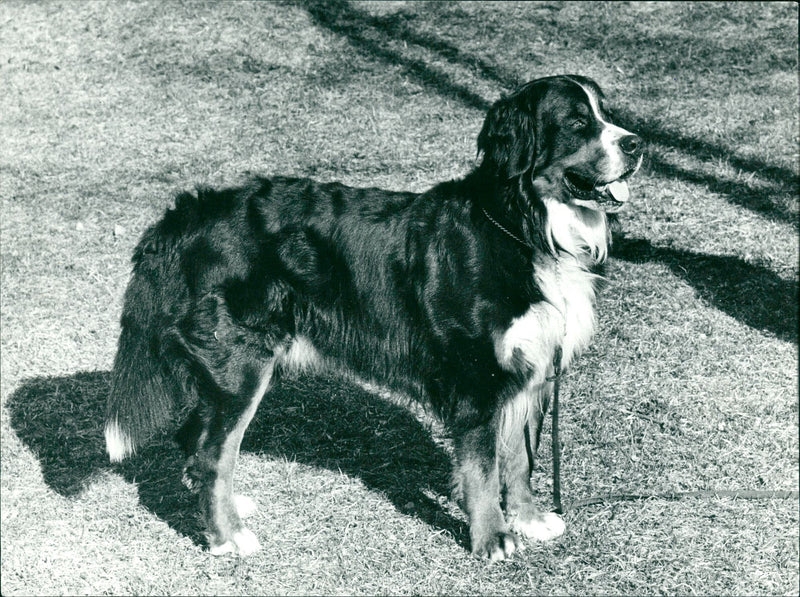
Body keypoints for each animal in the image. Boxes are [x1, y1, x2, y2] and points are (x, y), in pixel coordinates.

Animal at [104, 73, 644, 560]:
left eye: (606, 113)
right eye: (577, 122)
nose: (637, 144)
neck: (522, 226)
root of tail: (186, 215)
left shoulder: (529, 364)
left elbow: (518, 459)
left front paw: (529, 519)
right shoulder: (476, 378)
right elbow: (484, 470)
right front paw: (492, 538)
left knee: (198, 444)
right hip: (240, 366)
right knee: (214, 456)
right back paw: (227, 538)